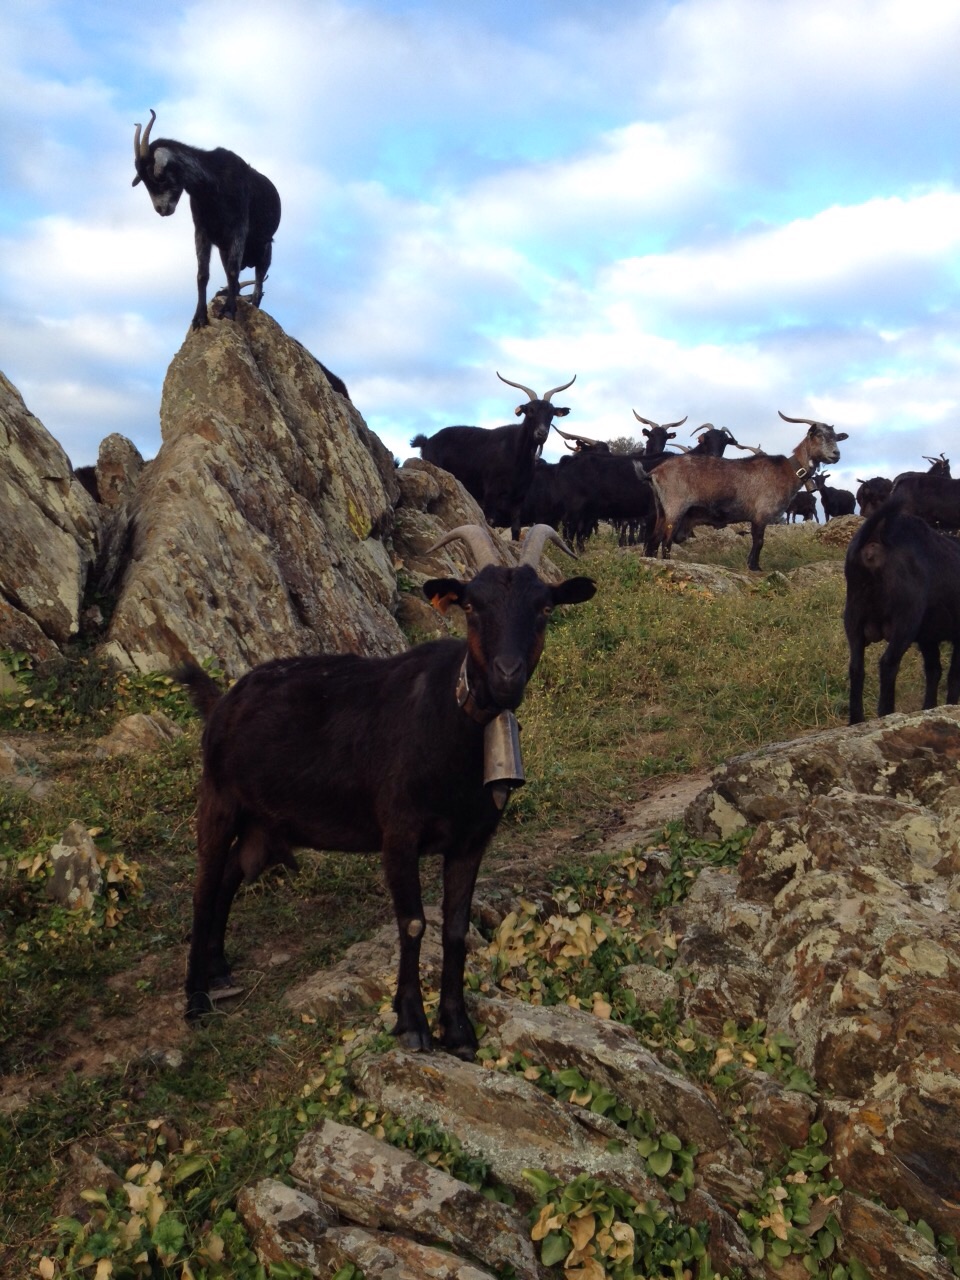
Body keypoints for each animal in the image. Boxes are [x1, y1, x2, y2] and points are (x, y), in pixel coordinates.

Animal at [132, 109, 281, 330]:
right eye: (143, 179)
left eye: (158, 176)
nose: (161, 209)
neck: (213, 184)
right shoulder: (202, 230)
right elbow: (203, 274)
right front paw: (200, 317)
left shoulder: (239, 228)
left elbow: (233, 271)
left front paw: (228, 311)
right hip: (224, 248)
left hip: (264, 248)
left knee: (258, 282)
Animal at [178, 524, 596, 1059]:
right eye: (472, 605)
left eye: (544, 607)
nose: (507, 674)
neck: (449, 723)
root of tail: (223, 700)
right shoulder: (398, 832)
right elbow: (414, 922)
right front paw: (412, 1023)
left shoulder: (472, 838)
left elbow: (455, 928)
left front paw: (457, 1030)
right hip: (218, 799)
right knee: (204, 885)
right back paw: (195, 1000)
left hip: (265, 825)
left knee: (232, 873)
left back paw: (218, 969)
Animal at [411, 374, 576, 540]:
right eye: (530, 411)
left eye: (551, 414)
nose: (541, 433)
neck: (516, 454)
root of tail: (426, 441)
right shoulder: (491, 491)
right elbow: (489, 521)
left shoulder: (518, 498)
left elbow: (516, 529)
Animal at [647, 411, 848, 570]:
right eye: (818, 434)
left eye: (836, 436)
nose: (836, 454)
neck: (788, 470)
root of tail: (656, 471)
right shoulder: (761, 514)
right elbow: (759, 541)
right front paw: (755, 566)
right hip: (675, 507)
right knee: (666, 540)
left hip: (661, 508)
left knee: (654, 538)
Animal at [844, 502, 960, 723]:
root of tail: (875, 539)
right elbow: (952, 675)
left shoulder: (927, 638)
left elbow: (934, 670)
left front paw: (929, 708)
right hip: (905, 620)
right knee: (888, 663)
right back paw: (886, 712)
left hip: (853, 617)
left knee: (856, 667)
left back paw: (857, 719)